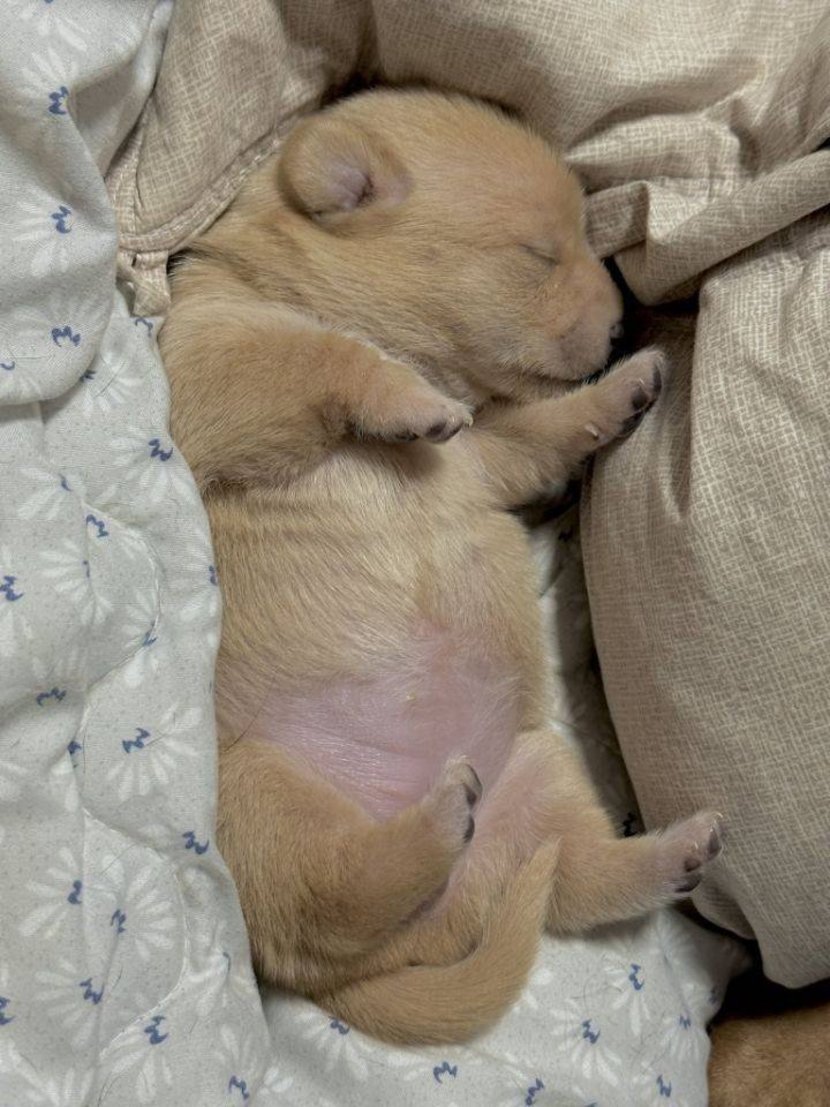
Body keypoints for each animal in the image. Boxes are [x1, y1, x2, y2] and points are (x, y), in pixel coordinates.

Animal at [160, 89, 723, 1044]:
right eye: (538, 255)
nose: (622, 328)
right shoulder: (204, 357)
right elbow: (316, 356)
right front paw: (405, 398)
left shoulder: (492, 455)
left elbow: (547, 426)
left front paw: (628, 386)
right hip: (259, 798)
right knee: (333, 893)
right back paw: (430, 827)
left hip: (538, 777)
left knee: (576, 875)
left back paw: (674, 849)